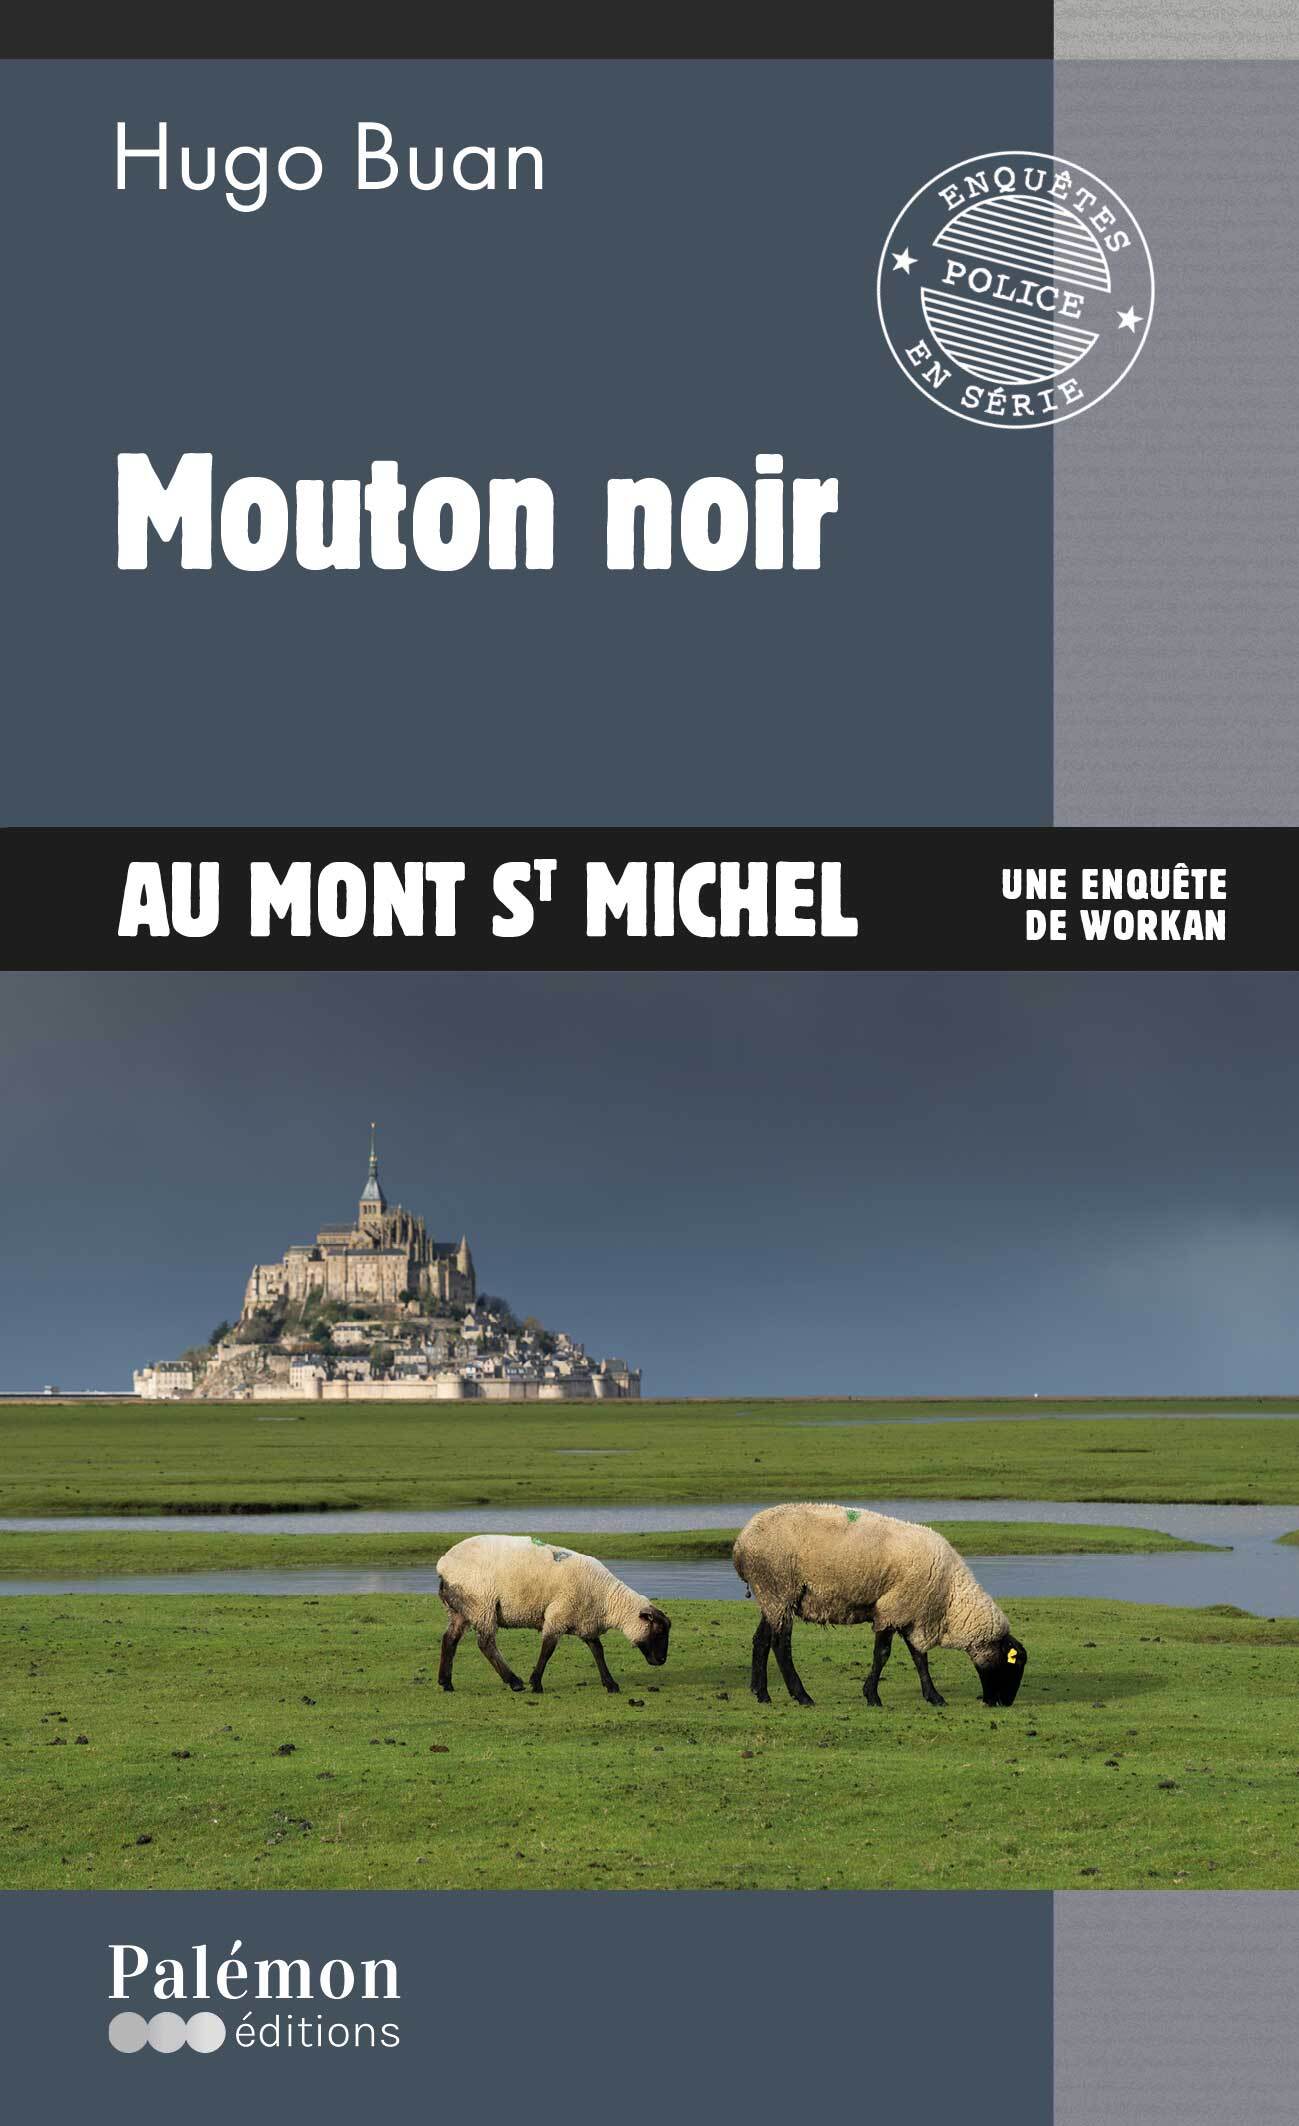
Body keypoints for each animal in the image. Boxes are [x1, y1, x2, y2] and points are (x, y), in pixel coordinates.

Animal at [435, 1533, 671, 1694]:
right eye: (658, 1631)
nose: (662, 1660)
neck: (606, 1598)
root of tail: (443, 1564)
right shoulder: (558, 1615)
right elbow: (548, 1649)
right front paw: (536, 1683)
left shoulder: (585, 1620)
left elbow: (597, 1651)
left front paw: (610, 1683)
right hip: (481, 1604)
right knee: (485, 1643)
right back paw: (514, 1682)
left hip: (459, 1609)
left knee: (449, 1639)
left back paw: (446, 1682)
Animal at [732, 1503, 1027, 1709]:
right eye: (1014, 1664)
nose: (1004, 1703)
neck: (949, 1600)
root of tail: (740, 1543)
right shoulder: (893, 1609)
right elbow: (883, 1654)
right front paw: (872, 1696)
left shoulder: (911, 1612)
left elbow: (919, 1658)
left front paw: (934, 1696)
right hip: (779, 1587)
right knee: (781, 1645)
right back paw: (802, 1696)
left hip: (772, 1595)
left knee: (761, 1640)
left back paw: (761, 1693)